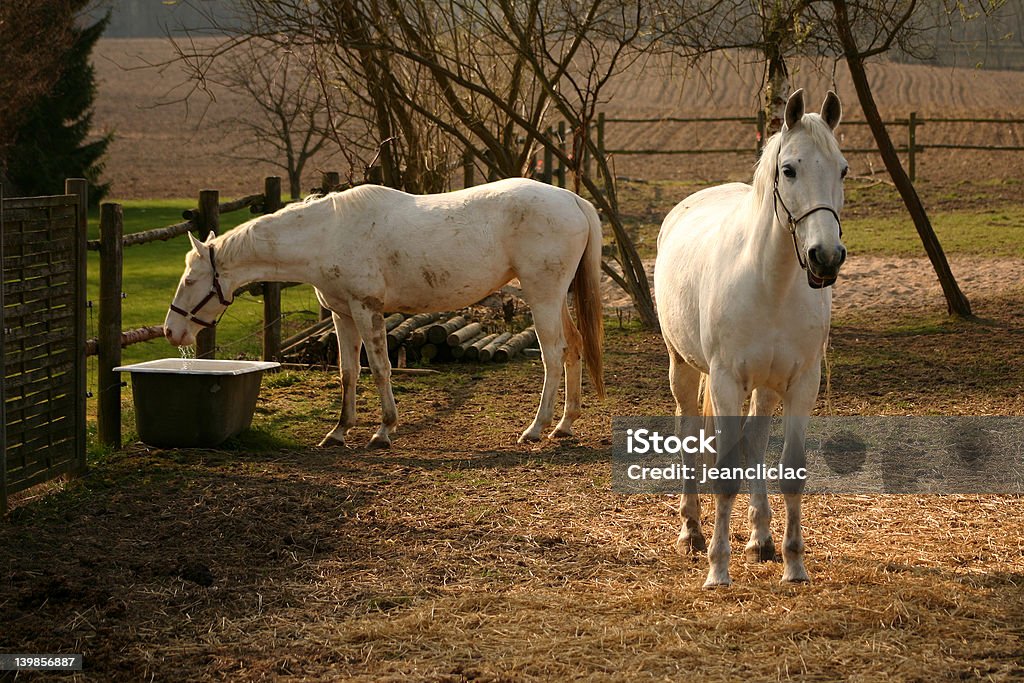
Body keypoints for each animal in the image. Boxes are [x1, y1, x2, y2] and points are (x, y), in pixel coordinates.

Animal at [163, 178, 602, 448]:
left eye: (190, 280)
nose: (171, 331)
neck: (327, 234)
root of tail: (571, 199)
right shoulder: (342, 315)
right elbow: (348, 373)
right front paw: (339, 431)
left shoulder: (366, 309)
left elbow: (379, 369)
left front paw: (383, 430)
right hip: (555, 296)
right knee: (574, 347)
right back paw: (564, 424)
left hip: (542, 295)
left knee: (552, 356)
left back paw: (536, 428)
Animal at [655, 90, 847, 589]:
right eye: (790, 169)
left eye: (842, 169)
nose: (826, 257)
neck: (770, 283)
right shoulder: (725, 382)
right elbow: (724, 476)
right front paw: (717, 571)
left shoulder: (801, 384)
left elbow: (790, 471)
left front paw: (794, 565)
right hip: (683, 367)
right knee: (688, 430)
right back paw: (692, 531)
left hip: (764, 386)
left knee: (755, 442)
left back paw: (760, 539)